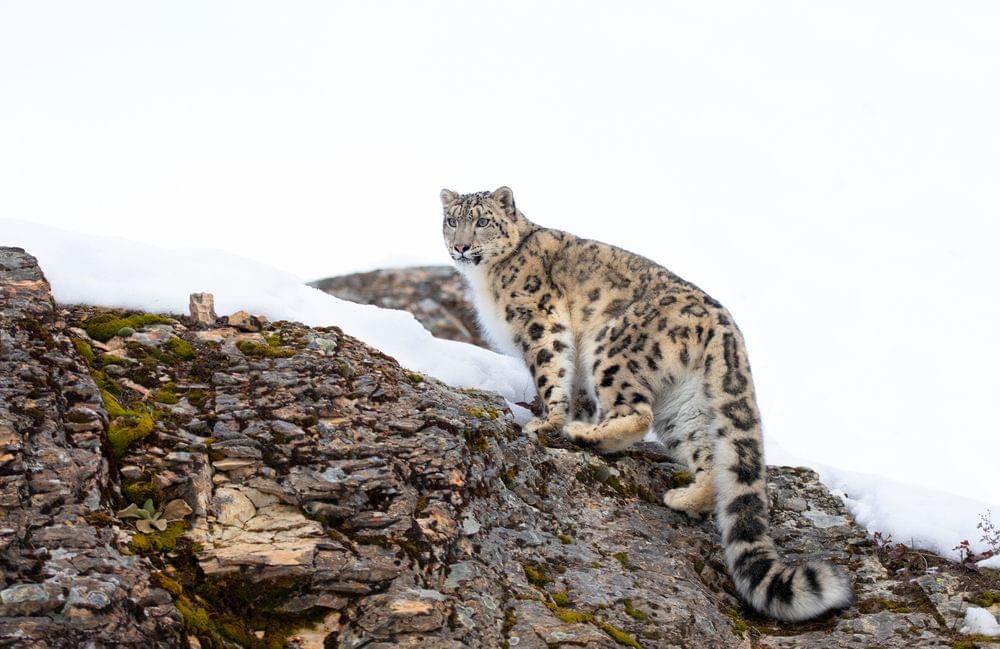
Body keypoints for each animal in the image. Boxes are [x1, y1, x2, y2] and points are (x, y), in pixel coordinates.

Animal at [438, 185, 852, 620]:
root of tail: (726, 325)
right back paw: (683, 497)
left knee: (637, 413)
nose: (461, 245)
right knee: (706, 456)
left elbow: (552, 372)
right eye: (452, 220)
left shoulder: (540, 324)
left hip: (612, 348)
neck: (487, 278)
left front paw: (548, 421)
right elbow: (576, 391)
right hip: (684, 403)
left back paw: (587, 436)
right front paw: (568, 416)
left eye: (483, 220)